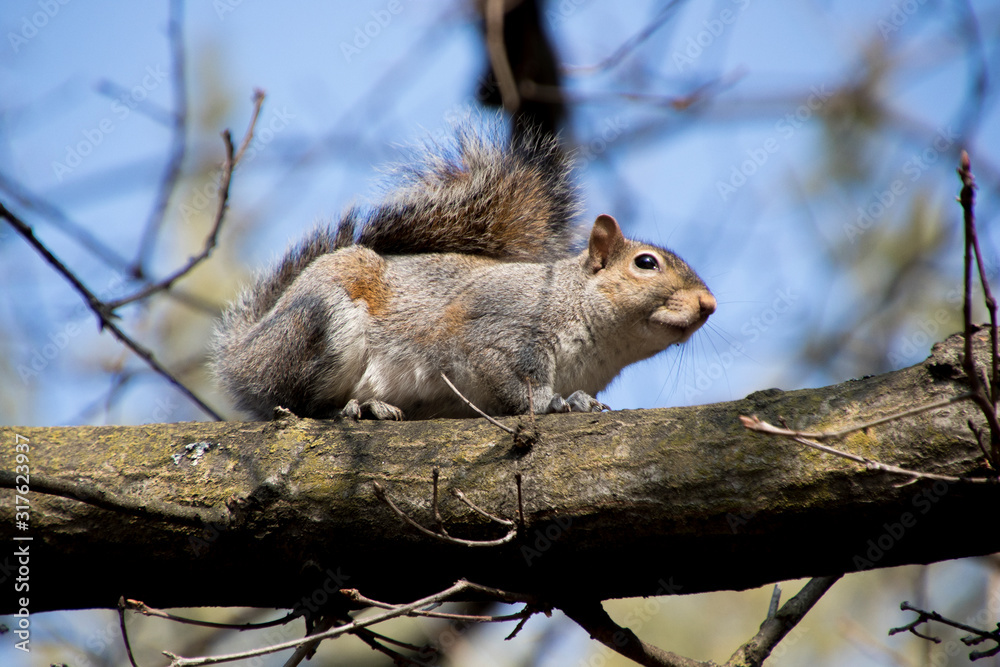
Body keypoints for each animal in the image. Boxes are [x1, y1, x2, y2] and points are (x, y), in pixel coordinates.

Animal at [211, 125, 716, 421]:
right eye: (645, 263)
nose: (709, 304)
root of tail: (242, 355)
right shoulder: (498, 333)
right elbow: (509, 381)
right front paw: (552, 403)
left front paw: (579, 400)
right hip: (321, 324)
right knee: (298, 402)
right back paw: (359, 407)